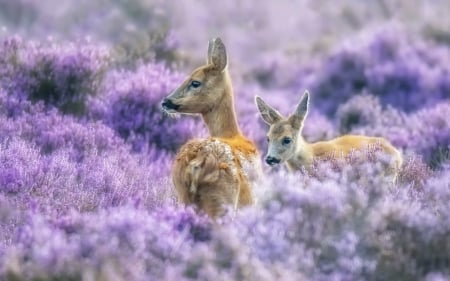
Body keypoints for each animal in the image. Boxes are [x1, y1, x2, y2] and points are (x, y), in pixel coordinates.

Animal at [162, 36, 260, 217]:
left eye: (195, 82)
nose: (166, 101)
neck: (232, 135)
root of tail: (197, 161)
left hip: (183, 196)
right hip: (222, 201)